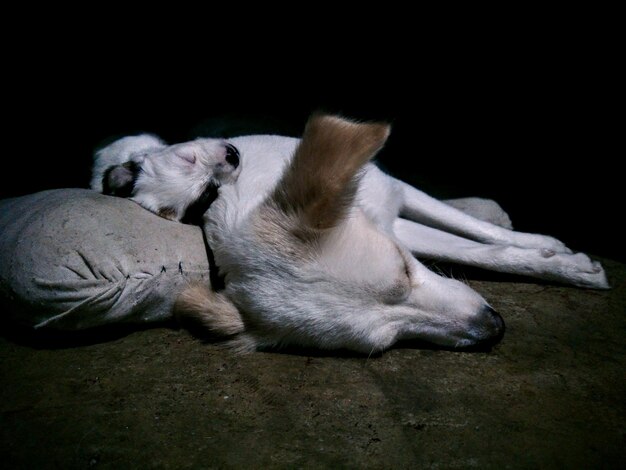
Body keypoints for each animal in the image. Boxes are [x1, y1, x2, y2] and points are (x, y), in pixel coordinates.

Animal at [92, 114, 604, 352]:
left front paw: (551, 250)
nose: (495, 329)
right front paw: (563, 263)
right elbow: (478, 252)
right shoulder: (397, 224)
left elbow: (475, 235)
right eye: (389, 341)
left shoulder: (395, 194)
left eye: (405, 269)